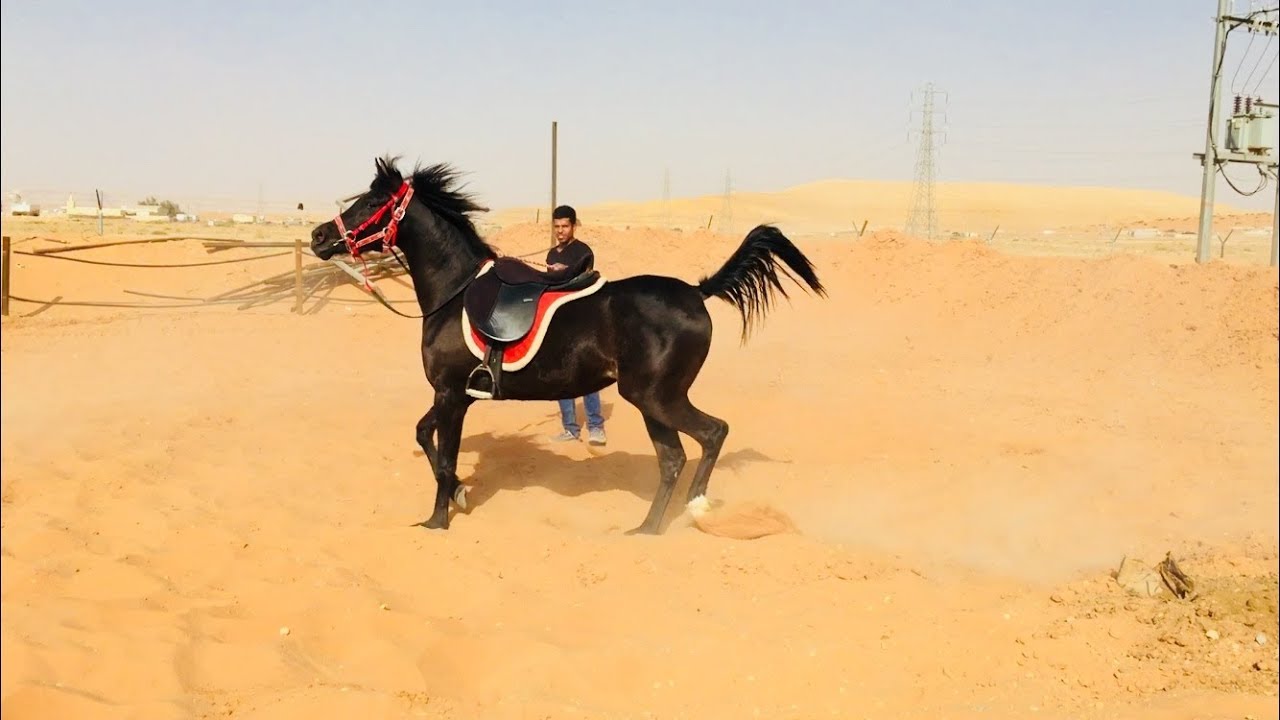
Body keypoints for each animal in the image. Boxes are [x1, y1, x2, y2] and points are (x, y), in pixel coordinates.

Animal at [309, 156, 826, 535]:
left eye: (370, 203)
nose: (318, 236)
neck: (455, 291)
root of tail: (698, 292)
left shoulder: (451, 394)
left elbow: (441, 454)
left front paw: (439, 518)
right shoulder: (456, 396)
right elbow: (427, 438)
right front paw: (458, 494)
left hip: (654, 396)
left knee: (712, 434)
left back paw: (693, 509)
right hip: (651, 401)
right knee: (674, 458)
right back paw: (647, 528)